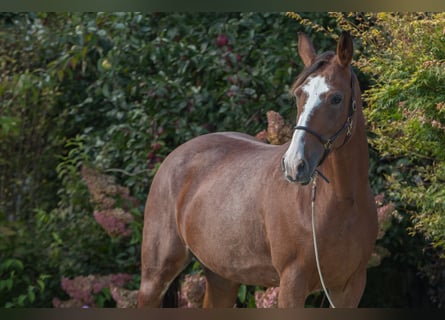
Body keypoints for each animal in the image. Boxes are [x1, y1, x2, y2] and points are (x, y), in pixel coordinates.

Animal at [137, 31, 376, 308]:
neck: (343, 201)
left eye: (336, 98)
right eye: (299, 95)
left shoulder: (349, 288)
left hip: (222, 277)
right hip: (155, 277)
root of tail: (173, 158)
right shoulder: (292, 285)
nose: (294, 165)